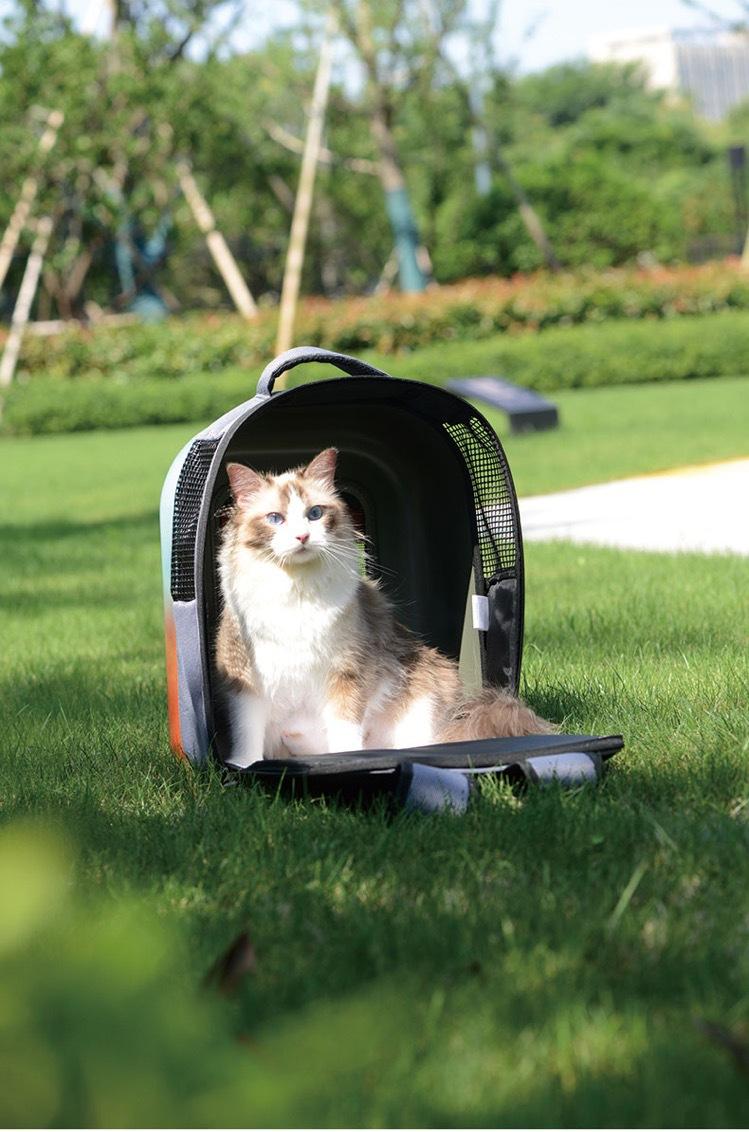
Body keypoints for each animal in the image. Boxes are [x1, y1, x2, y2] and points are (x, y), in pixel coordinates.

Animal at [216, 447, 551, 767]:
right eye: (275, 518)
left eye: (315, 513)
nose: (302, 536)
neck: (296, 587)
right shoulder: (245, 679)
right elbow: (247, 731)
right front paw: (243, 766)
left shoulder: (347, 673)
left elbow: (344, 727)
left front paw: (346, 760)